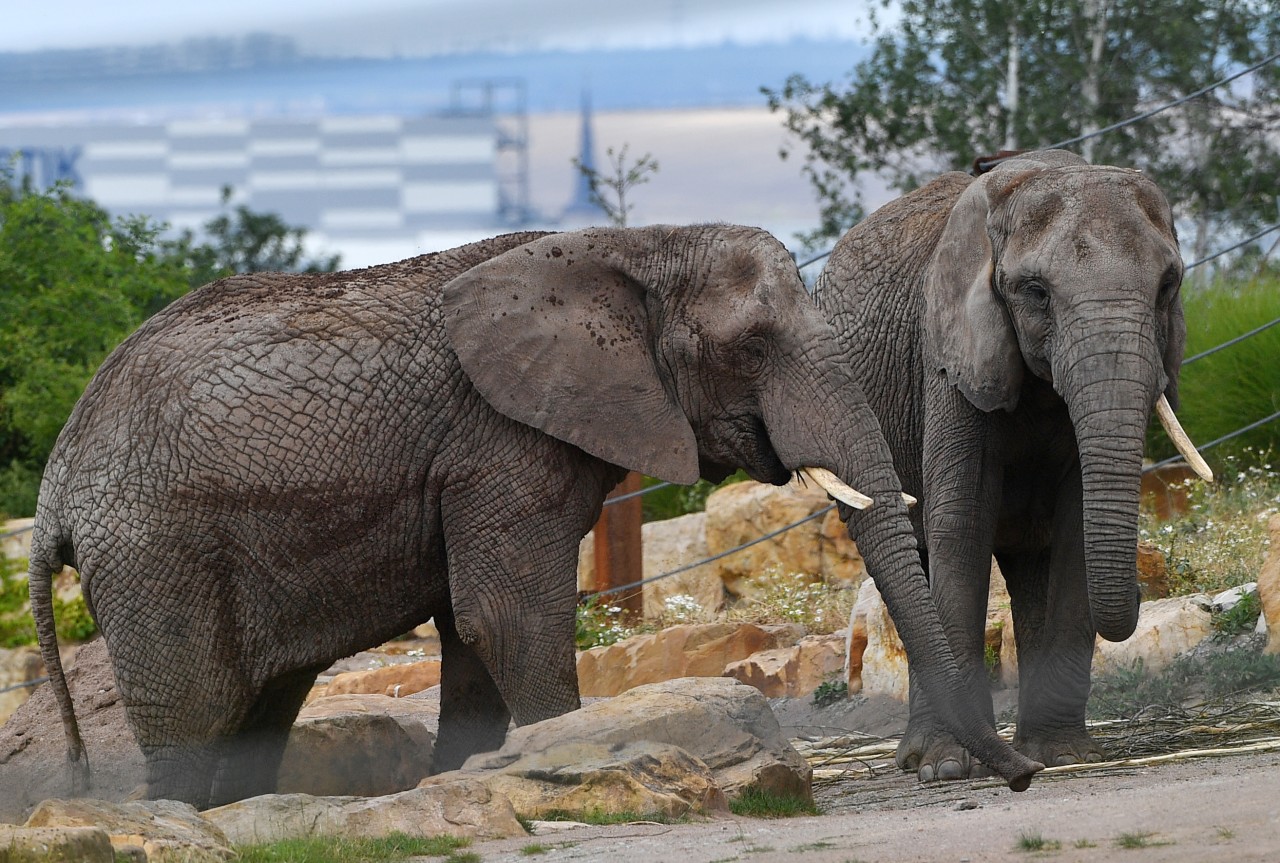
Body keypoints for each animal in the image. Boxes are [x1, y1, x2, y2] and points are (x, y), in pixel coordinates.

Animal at [27, 221, 1039, 809]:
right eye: (751, 347)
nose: (1023, 776)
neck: (631, 246)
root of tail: (54, 485)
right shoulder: (498, 438)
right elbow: (509, 619)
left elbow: (475, 639)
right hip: (156, 550)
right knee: (197, 710)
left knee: (262, 705)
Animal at [814, 149, 1213, 778]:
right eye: (1035, 292)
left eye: (1168, 286)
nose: (1139, 594)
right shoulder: (949, 357)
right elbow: (961, 524)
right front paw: (947, 768)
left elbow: (1075, 526)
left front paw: (1065, 755)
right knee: (921, 557)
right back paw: (920, 758)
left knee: (1029, 561)